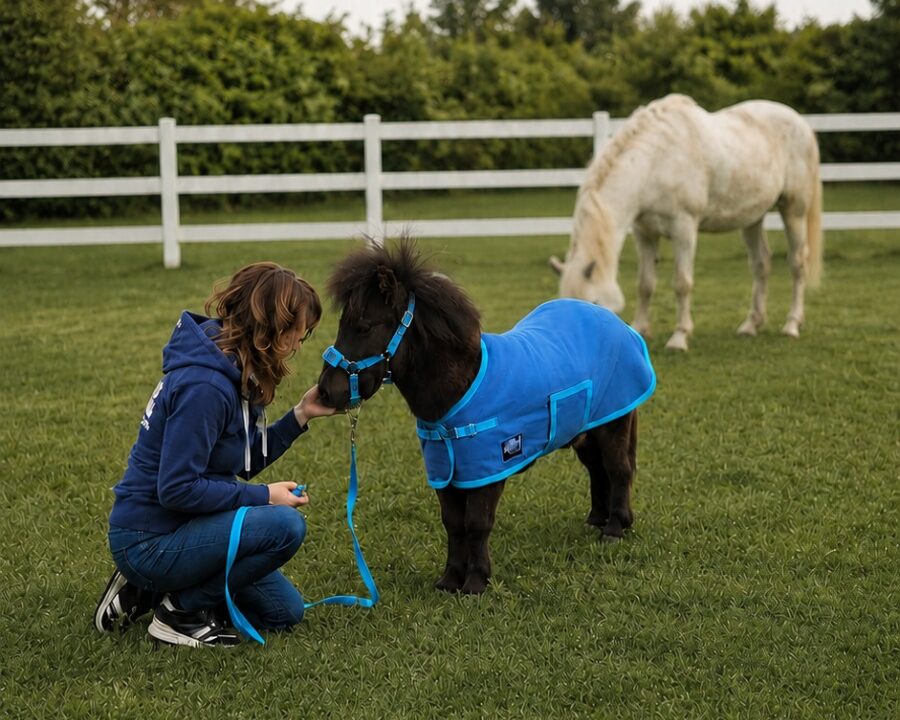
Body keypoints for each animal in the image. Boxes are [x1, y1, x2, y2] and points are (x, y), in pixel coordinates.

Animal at [317, 239, 656, 595]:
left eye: (364, 326)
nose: (326, 391)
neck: (457, 393)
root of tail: (618, 324)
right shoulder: (446, 473)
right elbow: (453, 524)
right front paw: (450, 579)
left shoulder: (488, 472)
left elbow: (477, 524)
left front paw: (476, 582)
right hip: (584, 432)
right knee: (597, 471)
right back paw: (596, 519)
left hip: (613, 424)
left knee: (618, 469)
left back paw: (614, 528)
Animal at [549, 94, 823, 351]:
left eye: (594, 303)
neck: (655, 162)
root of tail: (800, 122)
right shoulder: (644, 233)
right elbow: (645, 285)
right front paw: (640, 329)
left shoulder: (684, 228)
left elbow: (682, 283)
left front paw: (679, 338)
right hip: (753, 218)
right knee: (761, 265)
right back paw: (750, 325)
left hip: (794, 211)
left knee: (797, 263)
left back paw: (791, 325)